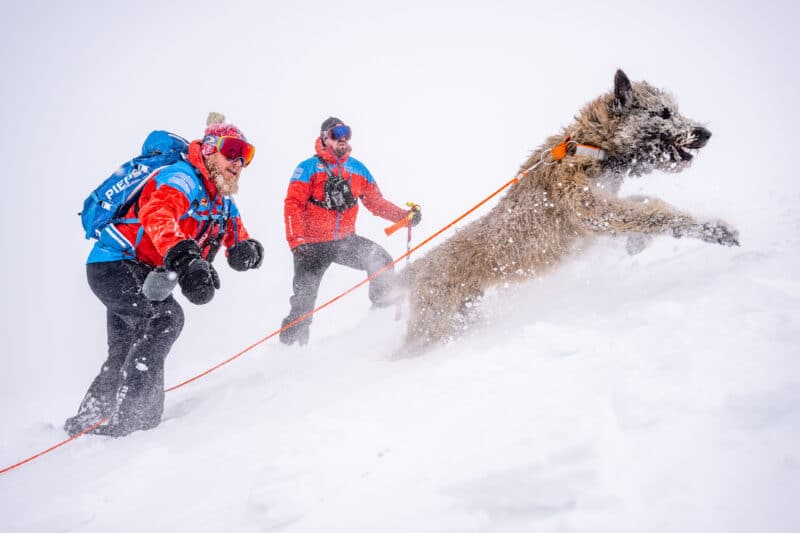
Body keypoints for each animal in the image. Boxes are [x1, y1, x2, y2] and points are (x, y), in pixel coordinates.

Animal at [404, 69, 740, 354]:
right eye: (664, 113)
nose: (705, 133)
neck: (592, 144)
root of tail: (418, 268)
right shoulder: (593, 210)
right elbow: (654, 213)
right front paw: (713, 229)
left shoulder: (605, 206)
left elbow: (644, 204)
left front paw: (637, 242)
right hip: (433, 325)